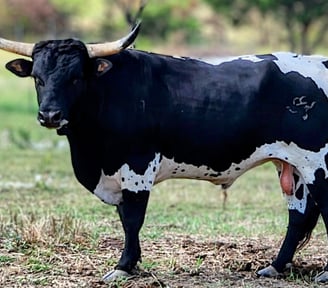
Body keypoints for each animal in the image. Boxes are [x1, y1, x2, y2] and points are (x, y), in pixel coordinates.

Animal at [0, 24, 328, 282]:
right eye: (37, 78)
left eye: (76, 77)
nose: (49, 115)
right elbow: (124, 217)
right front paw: (132, 264)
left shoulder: (137, 165)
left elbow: (132, 218)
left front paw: (123, 267)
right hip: (291, 166)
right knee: (298, 215)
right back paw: (275, 266)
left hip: (317, 163)